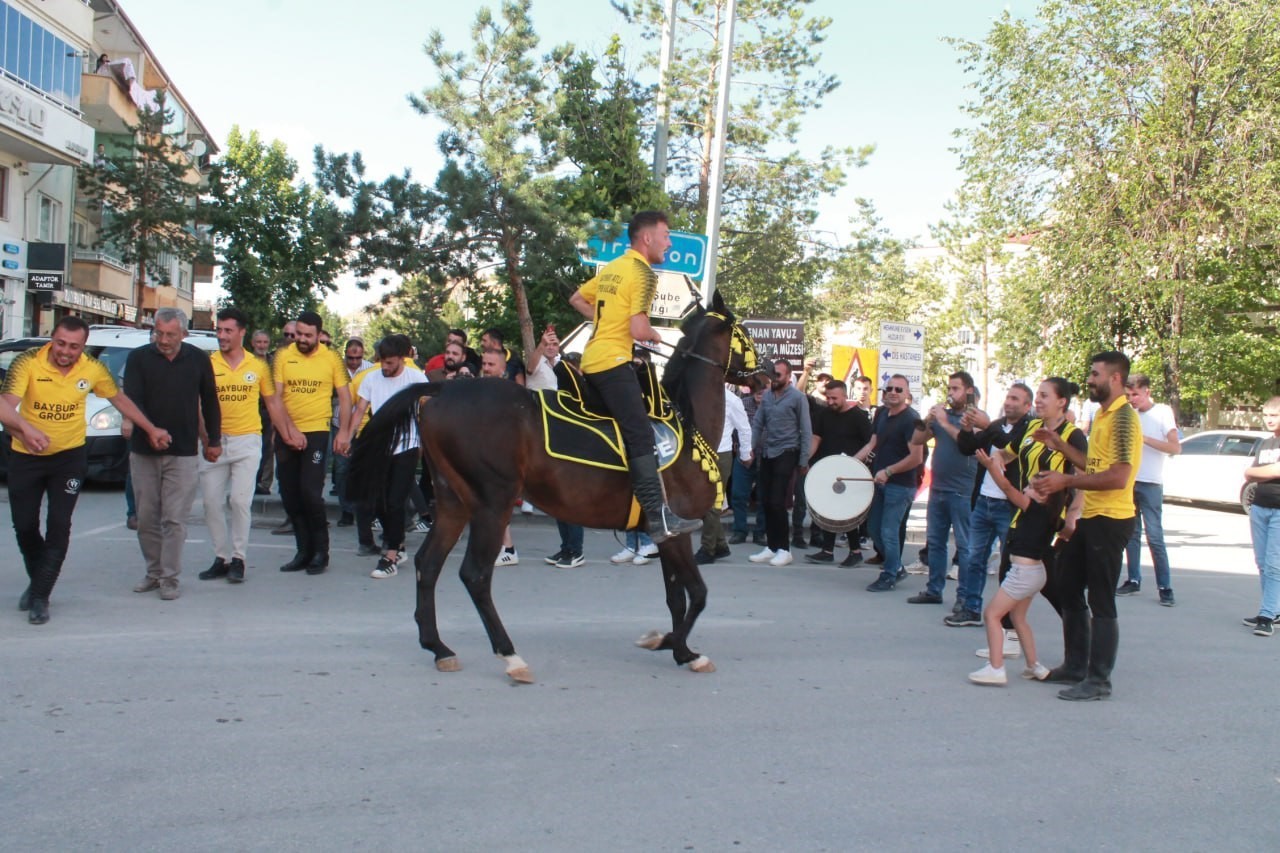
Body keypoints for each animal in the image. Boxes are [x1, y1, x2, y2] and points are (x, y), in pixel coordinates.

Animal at [345, 292, 762, 686]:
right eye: (745, 332)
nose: (763, 376)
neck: (686, 420)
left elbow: (676, 596)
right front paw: (680, 648)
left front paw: (674, 646)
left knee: (428, 565)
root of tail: (441, 392)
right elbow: (698, 593)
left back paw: (438, 646)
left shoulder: (666, 534)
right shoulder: (677, 531)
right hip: (491, 505)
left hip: (453, 504)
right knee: (474, 575)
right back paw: (510, 656)